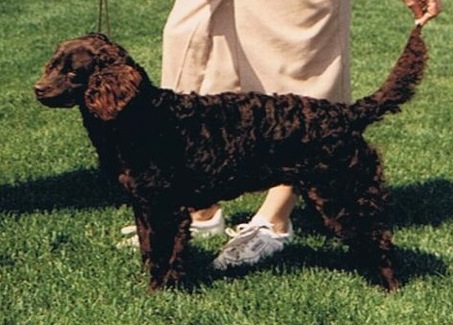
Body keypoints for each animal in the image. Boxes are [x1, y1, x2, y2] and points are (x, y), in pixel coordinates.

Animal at [33, 26, 426, 290]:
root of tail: (348, 113)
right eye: (52, 64)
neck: (144, 116)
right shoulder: (145, 204)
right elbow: (149, 247)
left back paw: (390, 288)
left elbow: (162, 252)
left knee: (379, 240)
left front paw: (157, 292)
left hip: (343, 192)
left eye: (73, 71)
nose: (38, 89)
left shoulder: (163, 206)